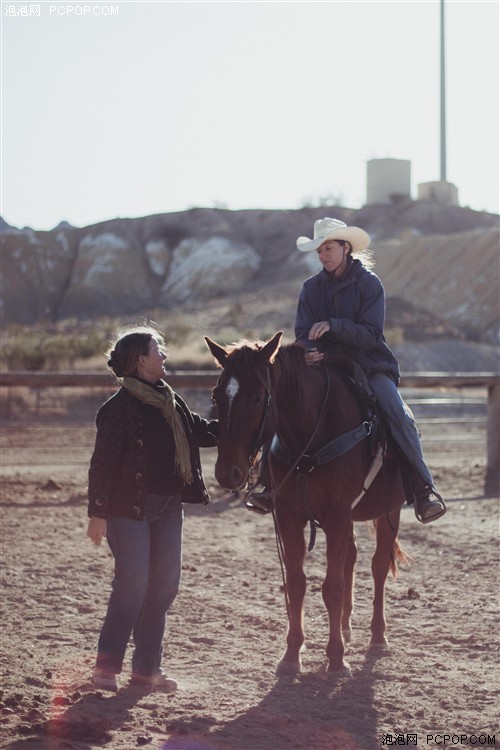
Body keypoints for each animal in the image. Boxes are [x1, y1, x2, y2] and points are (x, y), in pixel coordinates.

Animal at [205, 332, 408, 680]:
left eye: (258, 397)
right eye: (217, 395)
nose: (226, 473)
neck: (311, 434)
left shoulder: (338, 516)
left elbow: (332, 587)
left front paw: (337, 659)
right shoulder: (291, 517)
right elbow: (297, 584)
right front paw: (291, 656)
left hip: (387, 511)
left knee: (379, 565)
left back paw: (378, 636)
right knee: (352, 557)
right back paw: (346, 627)